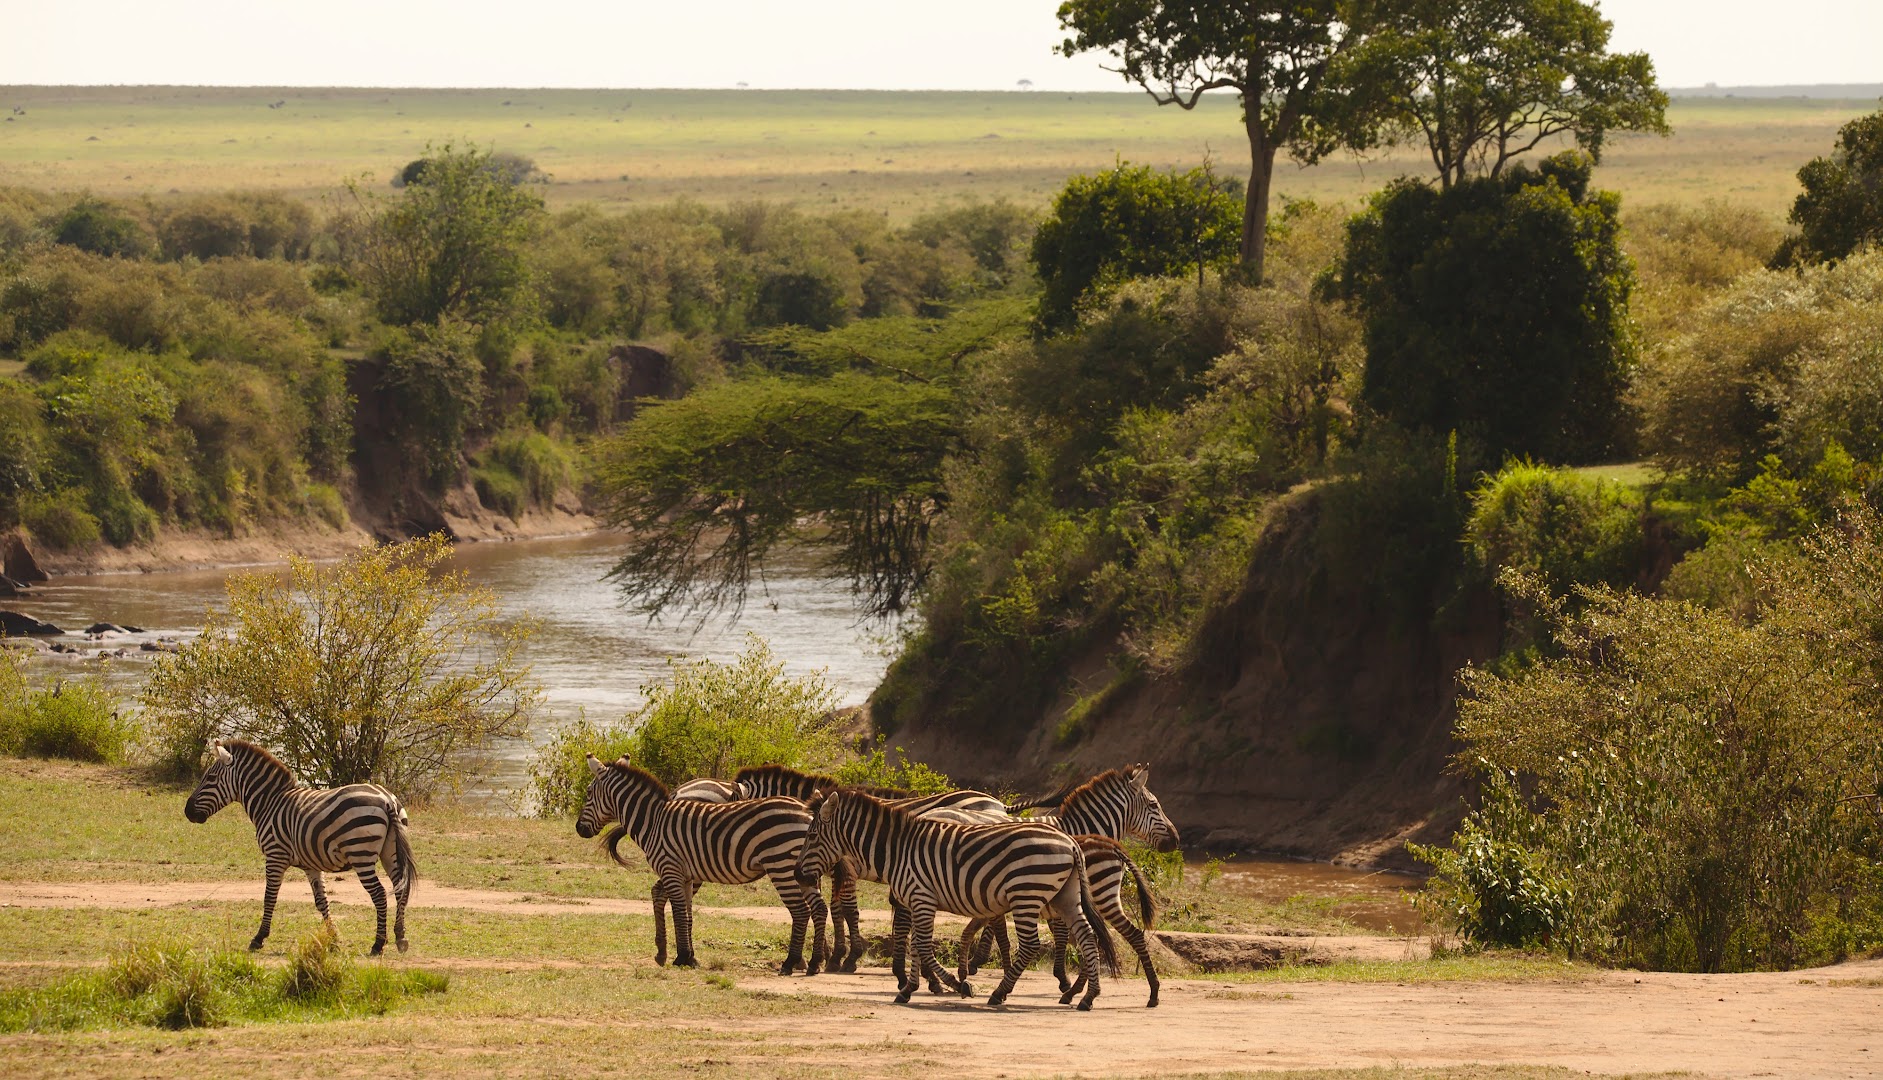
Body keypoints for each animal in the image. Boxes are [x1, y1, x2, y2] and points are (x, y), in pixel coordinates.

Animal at [180, 745, 416, 955]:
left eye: (210, 778)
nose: (187, 812)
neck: (269, 803)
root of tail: (386, 799)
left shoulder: (275, 856)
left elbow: (269, 897)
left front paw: (259, 938)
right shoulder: (311, 864)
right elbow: (321, 901)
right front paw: (334, 939)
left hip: (361, 854)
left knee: (379, 894)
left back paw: (378, 944)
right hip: (390, 853)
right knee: (400, 889)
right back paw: (401, 937)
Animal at [576, 756, 828, 978]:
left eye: (588, 793)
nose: (579, 829)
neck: (653, 820)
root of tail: (808, 812)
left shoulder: (670, 869)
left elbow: (678, 912)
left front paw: (682, 957)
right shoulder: (685, 876)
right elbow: (687, 915)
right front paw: (689, 957)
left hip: (782, 866)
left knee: (801, 911)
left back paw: (790, 962)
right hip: (803, 870)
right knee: (819, 908)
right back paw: (815, 963)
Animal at [726, 767, 1009, 978]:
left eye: (731, 806)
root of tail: (1000, 808)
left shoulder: (846, 867)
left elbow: (847, 909)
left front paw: (847, 957)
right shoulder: (832, 869)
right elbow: (835, 908)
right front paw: (832, 955)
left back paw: (977, 960)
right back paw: (978, 960)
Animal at [794, 790, 1114, 1008]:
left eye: (811, 836)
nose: (797, 875)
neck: (897, 850)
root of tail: (1070, 842)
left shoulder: (921, 896)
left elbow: (924, 946)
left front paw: (957, 985)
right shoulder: (916, 901)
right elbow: (916, 945)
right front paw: (909, 988)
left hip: (1026, 894)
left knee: (1031, 945)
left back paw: (999, 993)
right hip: (1065, 895)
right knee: (1087, 936)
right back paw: (1087, 997)